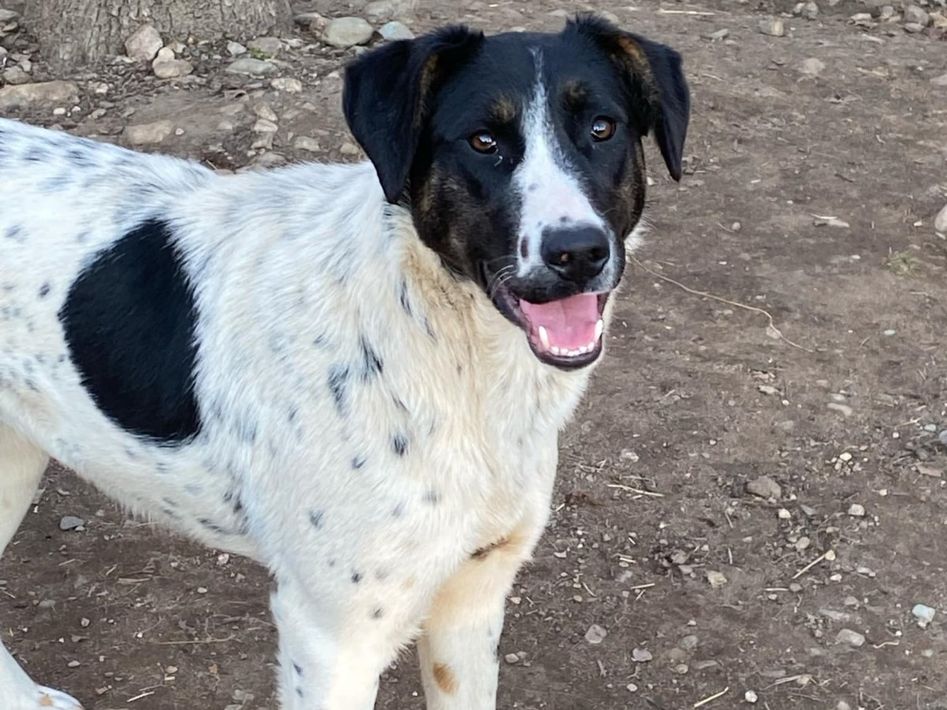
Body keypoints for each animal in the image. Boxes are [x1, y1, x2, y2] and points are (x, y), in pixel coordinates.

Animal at [0, 15, 688, 710]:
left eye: (601, 128)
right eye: (483, 140)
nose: (577, 252)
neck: (450, 354)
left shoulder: (472, 599)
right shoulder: (333, 640)